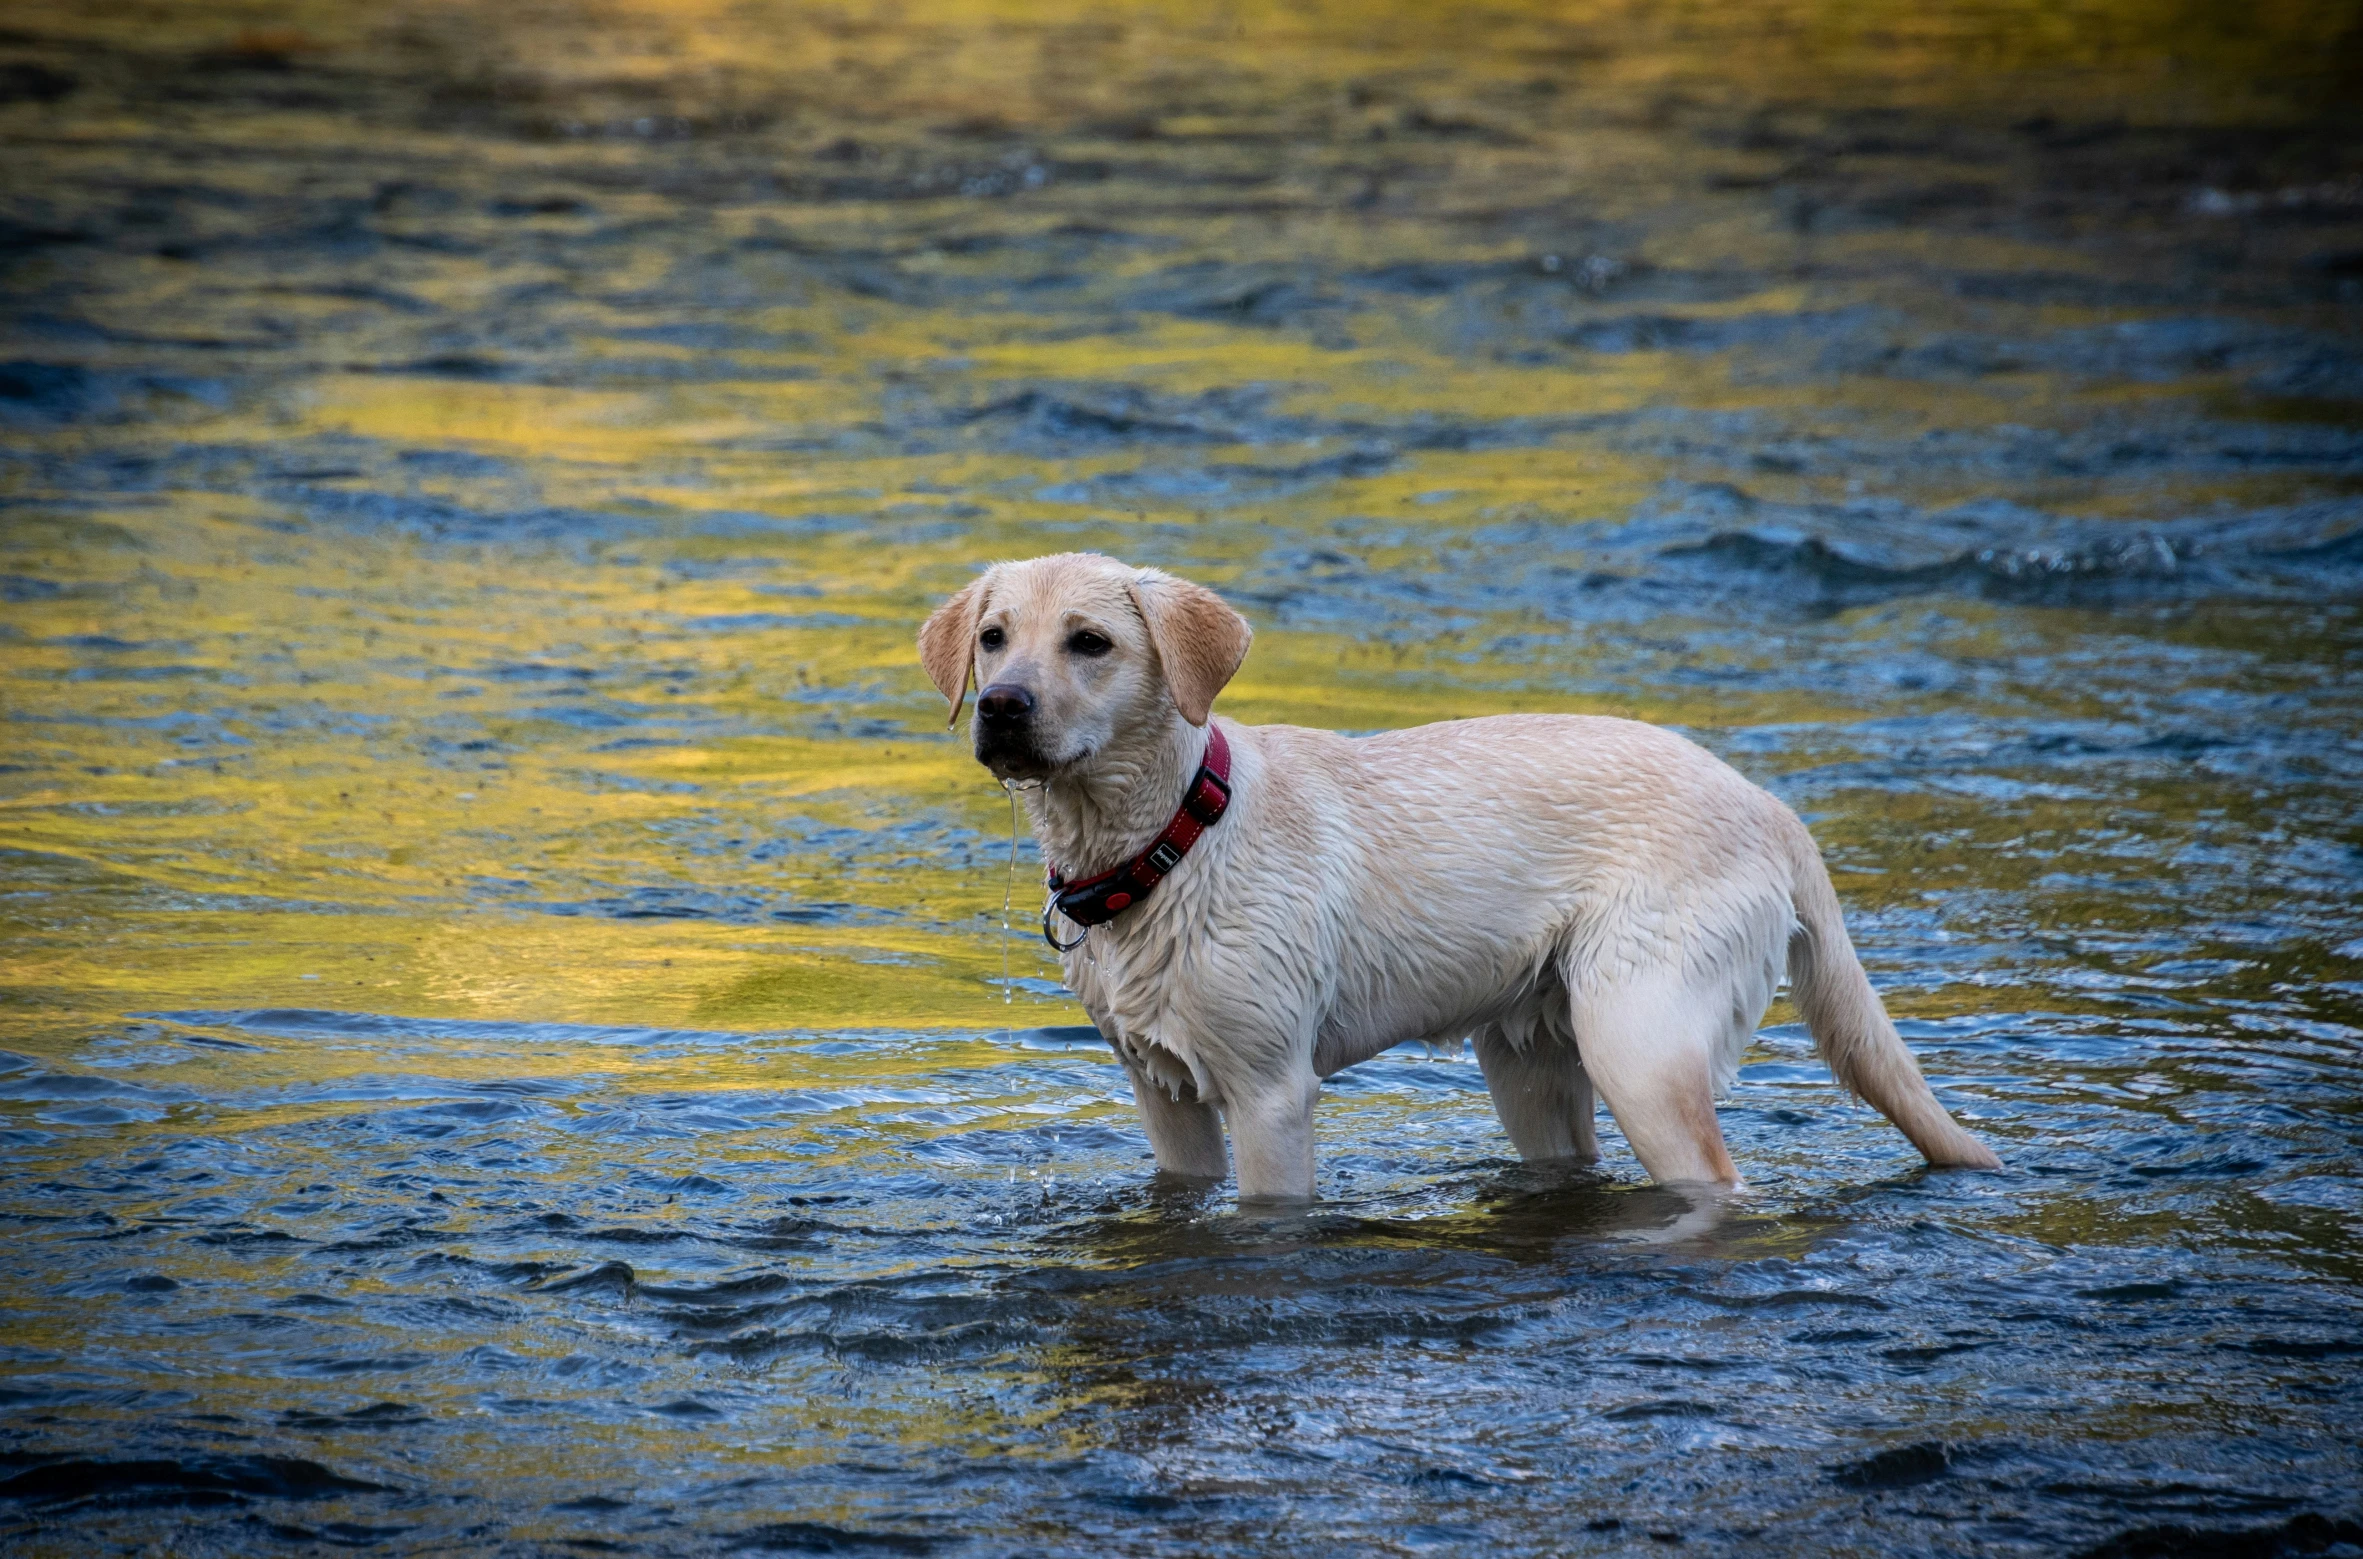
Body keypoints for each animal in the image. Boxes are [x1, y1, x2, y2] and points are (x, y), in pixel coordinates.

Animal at [916, 555, 1994, 1199]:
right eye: (993, 637)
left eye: (1090, 642)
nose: (1000, 706)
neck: (1171, 838)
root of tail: (1765, 802)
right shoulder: (1162, 1095)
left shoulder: (1269, 1092)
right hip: (1530, 1062)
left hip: (1641, 1045)